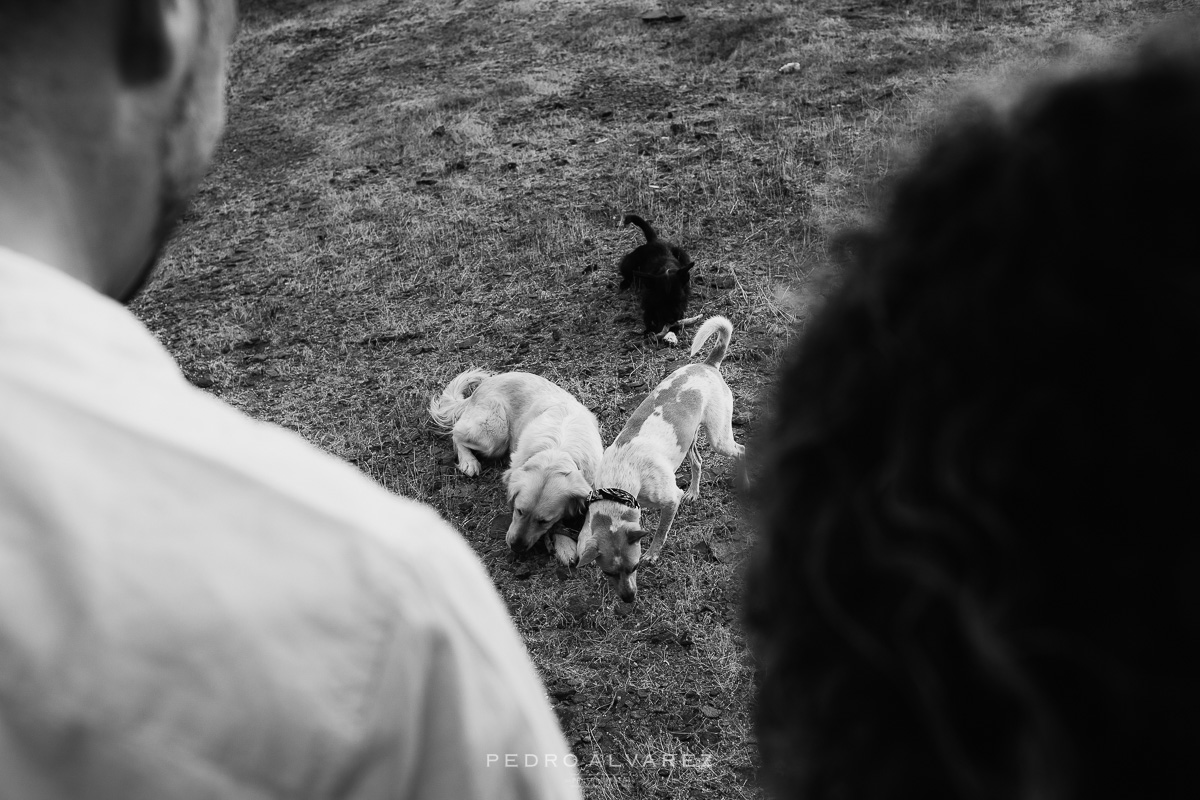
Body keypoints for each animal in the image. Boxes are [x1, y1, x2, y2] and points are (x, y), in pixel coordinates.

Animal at [429, 371, 600, 566]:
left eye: (544, 521)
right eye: (518, 510)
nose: (516, 547)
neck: (557, 451)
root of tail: (484, 385)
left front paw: (584, 543)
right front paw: (565, 544)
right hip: (494, 434)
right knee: (456, 433)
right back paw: (468, 461)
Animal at [573, 316, 748, 604]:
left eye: (635, 567)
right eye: (608, 573)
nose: (628, 599)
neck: (621, 476)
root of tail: (708, 365)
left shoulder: (669, 500)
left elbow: (660, 532)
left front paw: (653, 554)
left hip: (719, 438)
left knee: (741, 450)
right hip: (688, 440)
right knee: (698, 461)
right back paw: (693, 492)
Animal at [614, 214, 700, 345]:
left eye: (678, 299)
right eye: (660, 301)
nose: (670, 319)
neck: (666, 269)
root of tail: (654, 240)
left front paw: (671, 332)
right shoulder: (648, 301)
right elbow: (648, 316)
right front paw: (649, 331)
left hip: (682, 253)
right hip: (630, 262)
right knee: (627, 272)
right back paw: (624, 283)